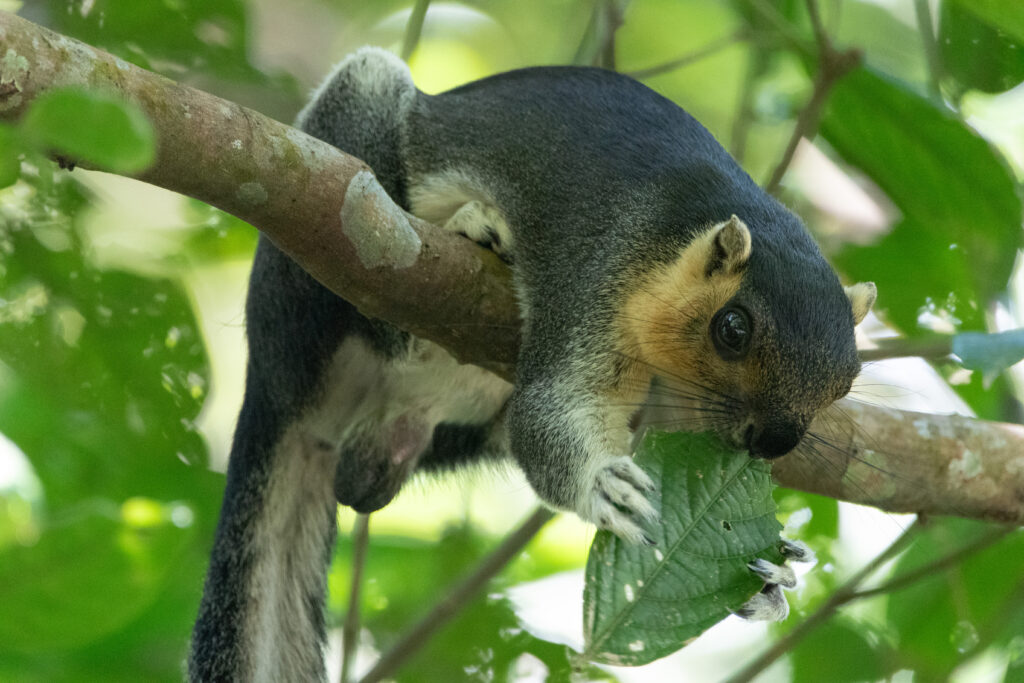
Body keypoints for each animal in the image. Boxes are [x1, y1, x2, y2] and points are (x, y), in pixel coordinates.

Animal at [188, 48, 876, 681]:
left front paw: (767, 579)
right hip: (316, 270)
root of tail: (285, 399)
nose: (774, 441)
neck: (672, 233)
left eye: (848, 379)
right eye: (732, 329)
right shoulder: (592, 272)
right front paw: (599, 485)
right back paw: (467, 238)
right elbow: (551, 408)